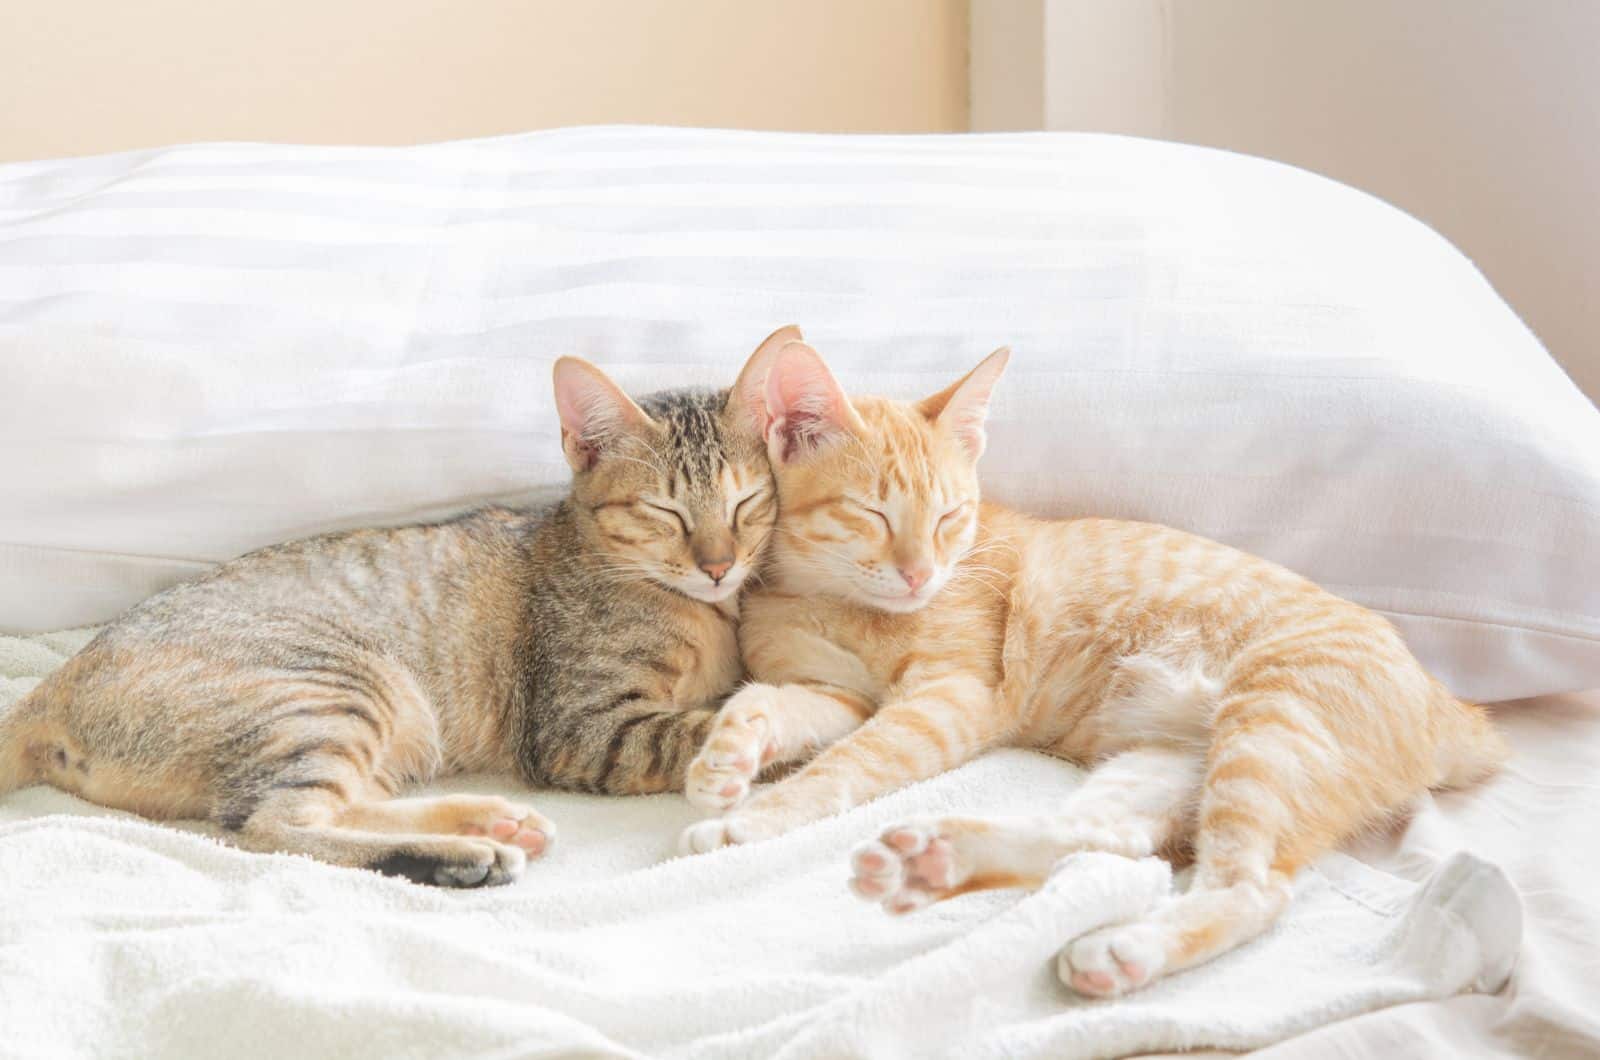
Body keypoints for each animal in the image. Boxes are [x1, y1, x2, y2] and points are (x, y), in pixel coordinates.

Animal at [0, 326, 793, 890]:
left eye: (746, 502)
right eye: (664, 511)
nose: (718, 565)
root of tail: (55, 684)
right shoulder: (583, 728)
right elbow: (715, 725)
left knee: (327, 805)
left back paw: (489, 820)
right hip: (335, 688)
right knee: (275, 825)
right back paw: (460, 856)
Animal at [681, 341, 1504, 999]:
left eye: (950, 517)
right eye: (872, 514)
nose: (920, 575)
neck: (828, 599)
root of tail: (1452, 707)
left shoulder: (950, 698)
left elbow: (849, 764)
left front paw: (751, 821)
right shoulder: (839, 694)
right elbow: (773, 702)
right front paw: (726, 758)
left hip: (1272, 724)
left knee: (1253, 887)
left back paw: (1127, 945)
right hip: (1166, 764)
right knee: (1114, 845)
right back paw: (944, 863)